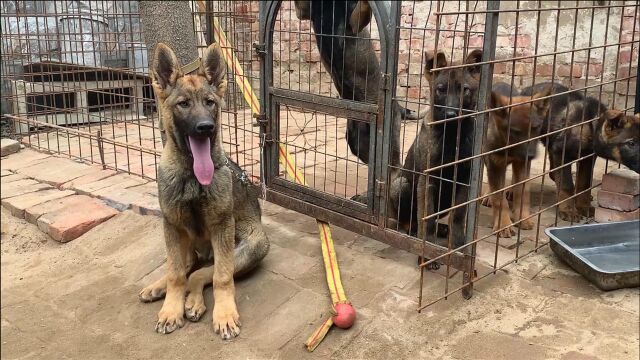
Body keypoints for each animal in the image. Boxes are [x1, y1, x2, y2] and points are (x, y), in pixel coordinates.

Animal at [139, 43, 268, 338]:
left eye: (210, 103)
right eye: (183, 104)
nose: (205, 128)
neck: (192, 178)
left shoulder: (222, 227)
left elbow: (221, 277)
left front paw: (225, 314)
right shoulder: (171, 224)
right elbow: (176, 273)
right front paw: (170, 309)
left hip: (252, 246)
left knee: (202, 273)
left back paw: (193, 302)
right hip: (183, 240)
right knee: (185, 267)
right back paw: (159, 287)